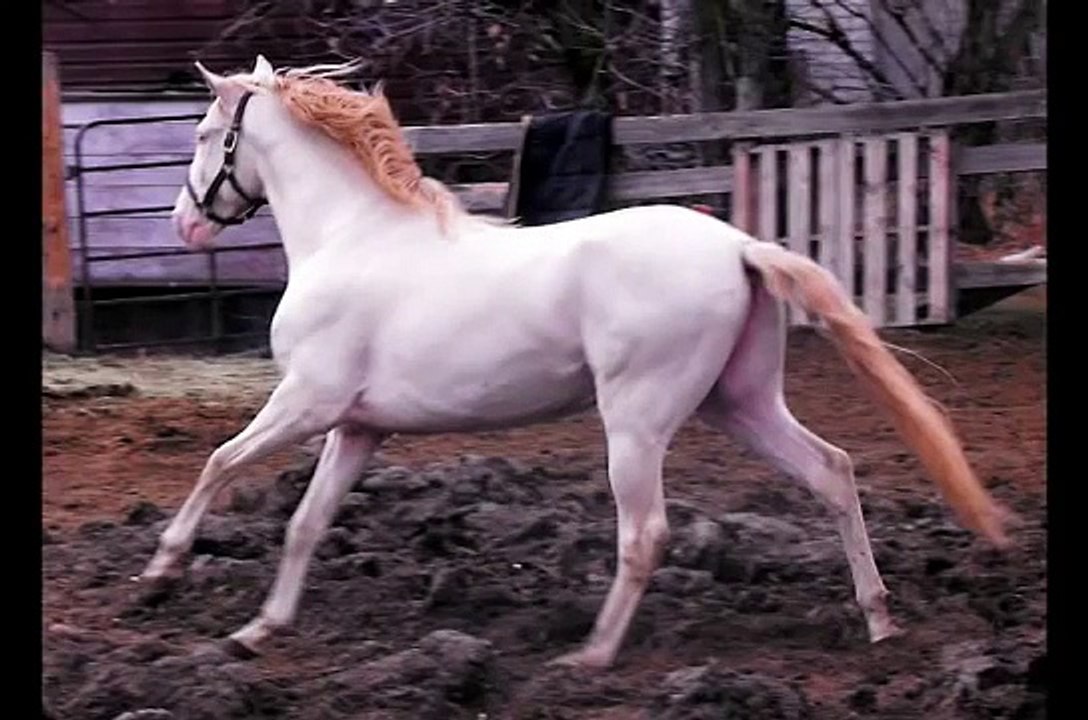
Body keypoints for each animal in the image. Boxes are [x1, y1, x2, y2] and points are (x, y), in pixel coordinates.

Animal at [140, 54, 1010, 669]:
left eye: (201, 136)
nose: (185, 223)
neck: (352, 235)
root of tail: (737, 245)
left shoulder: (307, 402)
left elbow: (219, 463)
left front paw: (162, 571)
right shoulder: (356, 429)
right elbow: (305, 523)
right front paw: (259, 629)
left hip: (637, 420)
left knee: (646, 533)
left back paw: (589, 656)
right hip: (740, 403)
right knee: (831, 471)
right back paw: (880, 620)